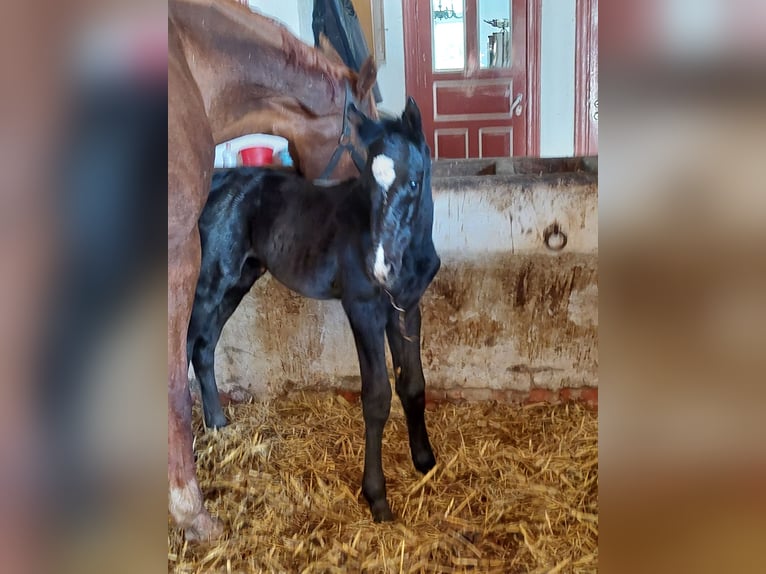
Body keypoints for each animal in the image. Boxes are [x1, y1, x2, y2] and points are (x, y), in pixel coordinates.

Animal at [187, 98, 440, 520]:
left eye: (414, 181)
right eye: (367, 183)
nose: (380, 268)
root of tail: (215, 183)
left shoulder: (406, 306)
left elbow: (414, 385)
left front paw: (425, 461)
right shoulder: (363, 308)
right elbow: (377, 397)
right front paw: (377, 497)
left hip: (239, 280)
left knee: (204, 347)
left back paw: (219, 424)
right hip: (208, 281)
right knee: (185, 348)